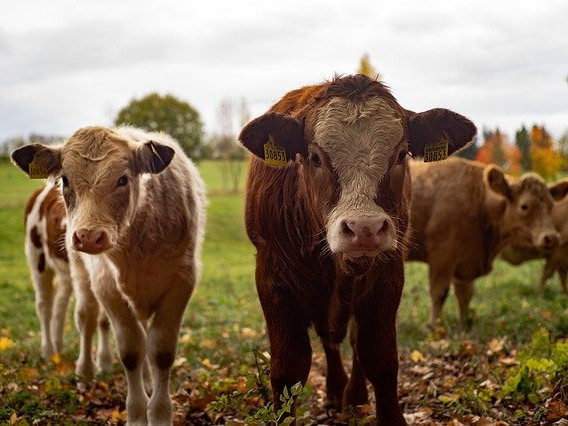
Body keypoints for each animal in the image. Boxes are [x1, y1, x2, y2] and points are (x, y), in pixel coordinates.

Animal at [12, 126, 206, 426]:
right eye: (65, 179)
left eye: (123, 179)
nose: (88, 237)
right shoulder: (106, 285)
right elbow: (131, 350)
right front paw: (137, 414)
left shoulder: (181, 281)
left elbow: (160, 351)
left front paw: (159, 412)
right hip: (43, 260)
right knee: (67, 311)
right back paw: (67, 360)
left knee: (66, 307)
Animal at [237, 73, 478, 422]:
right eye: (315, 157)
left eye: (401, 155)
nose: (365, 228)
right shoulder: (273, 281)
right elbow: (288, 370)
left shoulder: (388, 277)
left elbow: (379, 359)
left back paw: (353, 395)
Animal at [406, 158, 560, 328]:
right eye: (524, 206)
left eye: (552, 206)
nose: (552, 237)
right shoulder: (442, 256)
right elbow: (439, 293)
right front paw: (435, 327)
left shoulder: (465, 261)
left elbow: (465, 295)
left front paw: (465, 325)